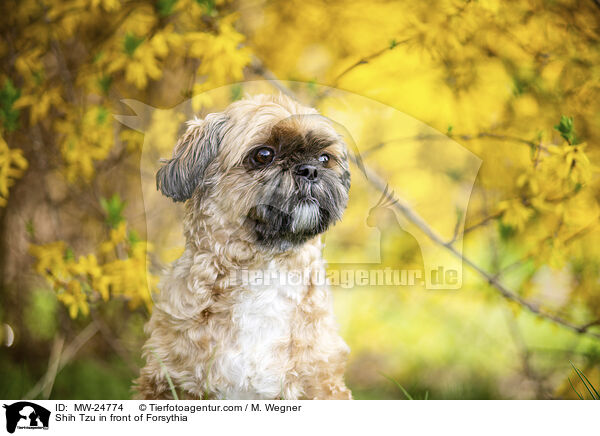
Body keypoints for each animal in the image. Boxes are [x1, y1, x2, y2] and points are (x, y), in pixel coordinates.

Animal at [135, 93, 352, 400]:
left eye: (324, 158)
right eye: (263, 155)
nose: (310, 170)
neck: (264, 268)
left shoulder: (323, 382)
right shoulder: (168, 382)